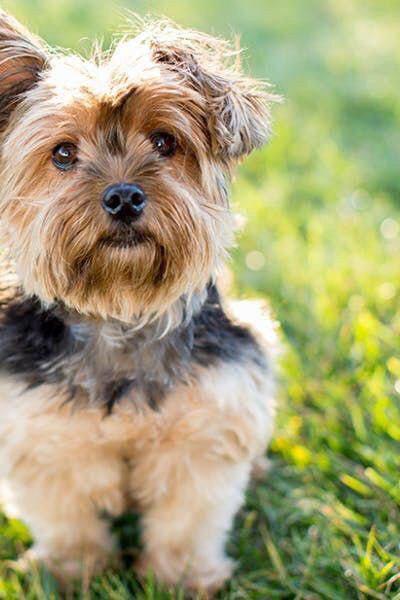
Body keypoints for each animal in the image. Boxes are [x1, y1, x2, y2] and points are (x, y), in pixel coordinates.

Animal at [0, 12, 278, 596]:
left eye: (164, 141)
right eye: (63, 153)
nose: (124, 196)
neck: (120, 309)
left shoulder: (205, 425)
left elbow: (185, 520)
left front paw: (181, 579)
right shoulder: (42, 431)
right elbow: (66, 516)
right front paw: (74, 572)